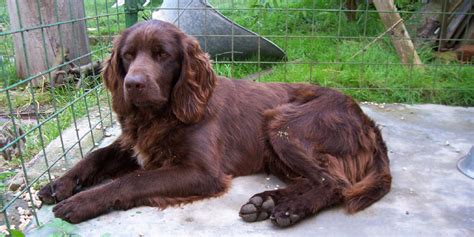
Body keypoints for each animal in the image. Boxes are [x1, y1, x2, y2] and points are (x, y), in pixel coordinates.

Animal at [38, 19, 392, 226]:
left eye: (162, 55)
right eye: (127, 55)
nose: (133, 84)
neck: (163, 113)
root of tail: (366, 119)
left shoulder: (201, 172)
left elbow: (132, 180)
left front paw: (82, 201)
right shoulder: (135, 145)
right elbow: (96, 155)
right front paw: (60, 184)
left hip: (284, 125)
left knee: (334, 183)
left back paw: (288, 210)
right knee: (316, 179)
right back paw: (265, 202)